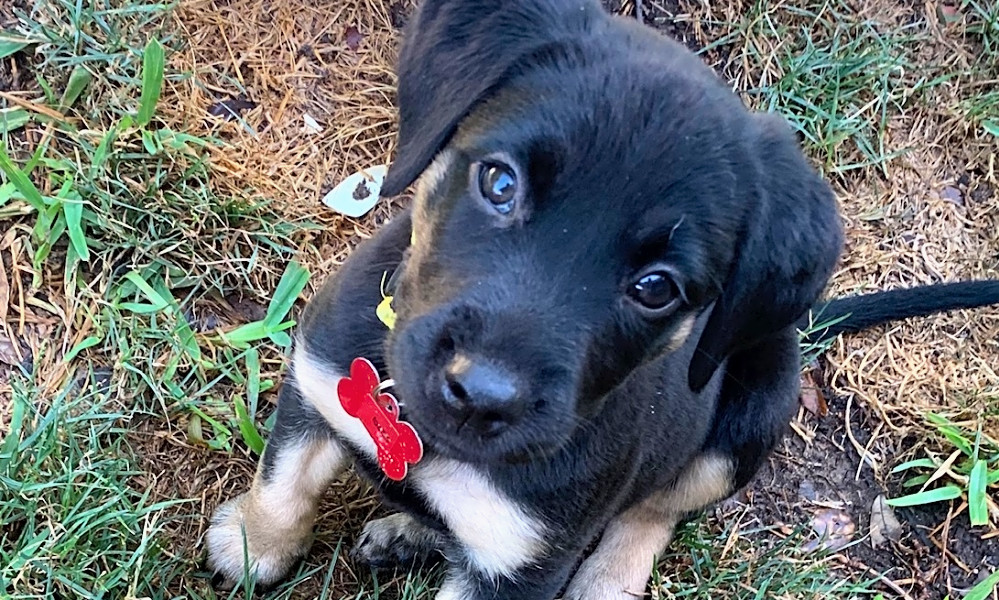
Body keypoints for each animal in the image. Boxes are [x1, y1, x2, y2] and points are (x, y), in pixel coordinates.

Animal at [203, 2, 999, 596]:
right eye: (499, 182)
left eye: (656, 288)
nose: (481, 396)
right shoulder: (319, 378)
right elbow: (283, 479)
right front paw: (251, 544)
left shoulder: (528, 565)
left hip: (753, 410)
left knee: (656, 507)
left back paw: (606, 577)